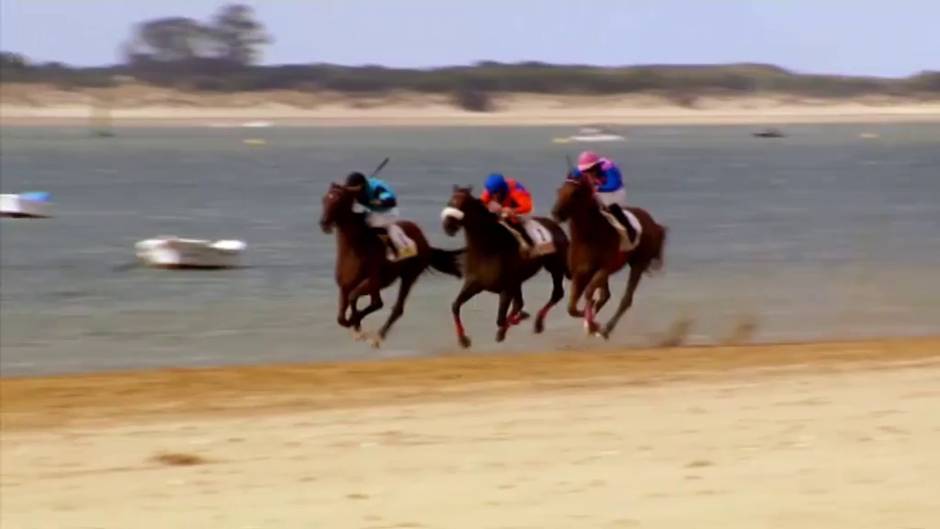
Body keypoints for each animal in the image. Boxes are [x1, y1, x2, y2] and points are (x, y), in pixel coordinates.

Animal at [320, 182, 462, 346]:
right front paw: (354, 325)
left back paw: (379, 336)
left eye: (338, 200)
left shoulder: (373, 282)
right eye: (325, 199)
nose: (323, 223)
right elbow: (341, 317)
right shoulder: (344, 286)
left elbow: (363, 300)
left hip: (409, 276)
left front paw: (356, 325)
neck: (355, 248)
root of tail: (424, 240)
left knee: (396, 308)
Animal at [438, 184, 564, 348]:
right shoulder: (475, 283)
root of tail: (556, 225)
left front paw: (510, 325)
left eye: (461, 204)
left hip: (555, 268)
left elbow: (501, 320)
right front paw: (463, 339)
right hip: (519, 281)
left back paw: (538, 323)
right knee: (520, 303)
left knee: (557, 294)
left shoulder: (506, 289)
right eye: (449, 202)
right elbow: (455, 306)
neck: (488, 248)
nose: (447, 226)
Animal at [552, 173, 668, 338]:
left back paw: (606, 328)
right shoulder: (580, 273)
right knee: (605, 296)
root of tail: (653, 223)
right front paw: (590, 322)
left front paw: (594, 324)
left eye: (574, 193)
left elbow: (589, 294)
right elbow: (572, 308)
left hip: (638, 263)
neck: (588, 237)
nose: (555, 213)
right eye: (559, 191)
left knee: (626, 299)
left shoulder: (604, 268)